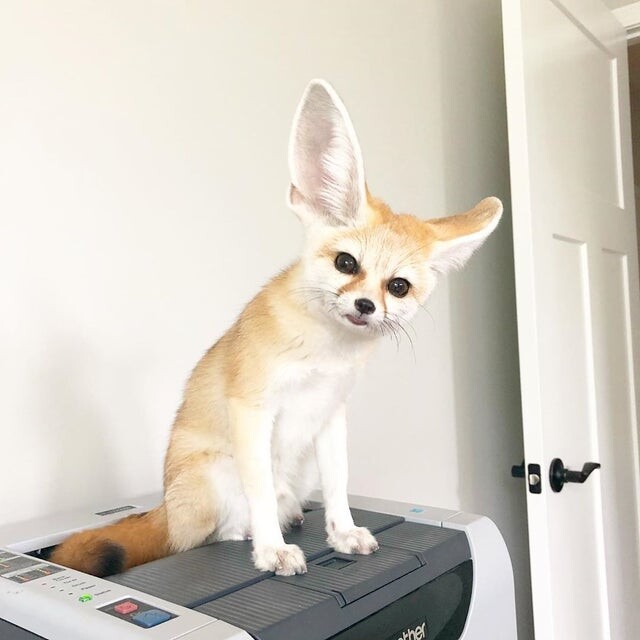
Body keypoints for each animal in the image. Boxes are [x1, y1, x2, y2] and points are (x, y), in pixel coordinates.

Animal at [50, 79, 502, 577]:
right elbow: (261, 492)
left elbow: (339, 487)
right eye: (347, 263)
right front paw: (271, 550)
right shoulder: (252, 408)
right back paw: (250, 534)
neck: (325, 354)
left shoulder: (331, 415)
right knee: (206, 536)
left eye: (398, 287)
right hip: (215, 476)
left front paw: (342, 533)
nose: (365, 305)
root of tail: (164, 509)